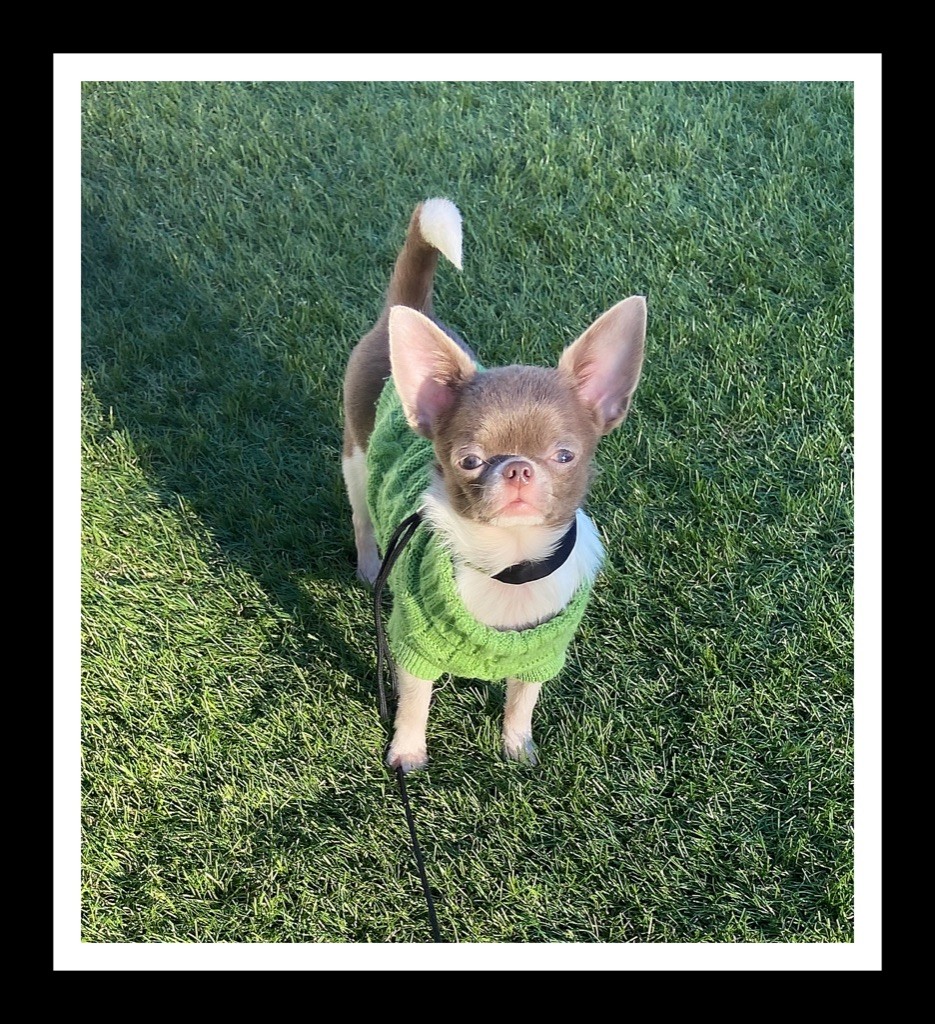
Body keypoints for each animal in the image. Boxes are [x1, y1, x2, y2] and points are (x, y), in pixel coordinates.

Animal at [342, 198, 645, 772]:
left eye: (565, 456)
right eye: (468, 460)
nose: (518, 468)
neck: (510, 565)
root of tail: (404, 309)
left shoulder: (541, 655)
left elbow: (520, 702)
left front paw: (517, 748)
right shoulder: (413, 648)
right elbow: (414, 705)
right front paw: (408, 753)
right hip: (355, 460)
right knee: (362, 519)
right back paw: (370, 566)